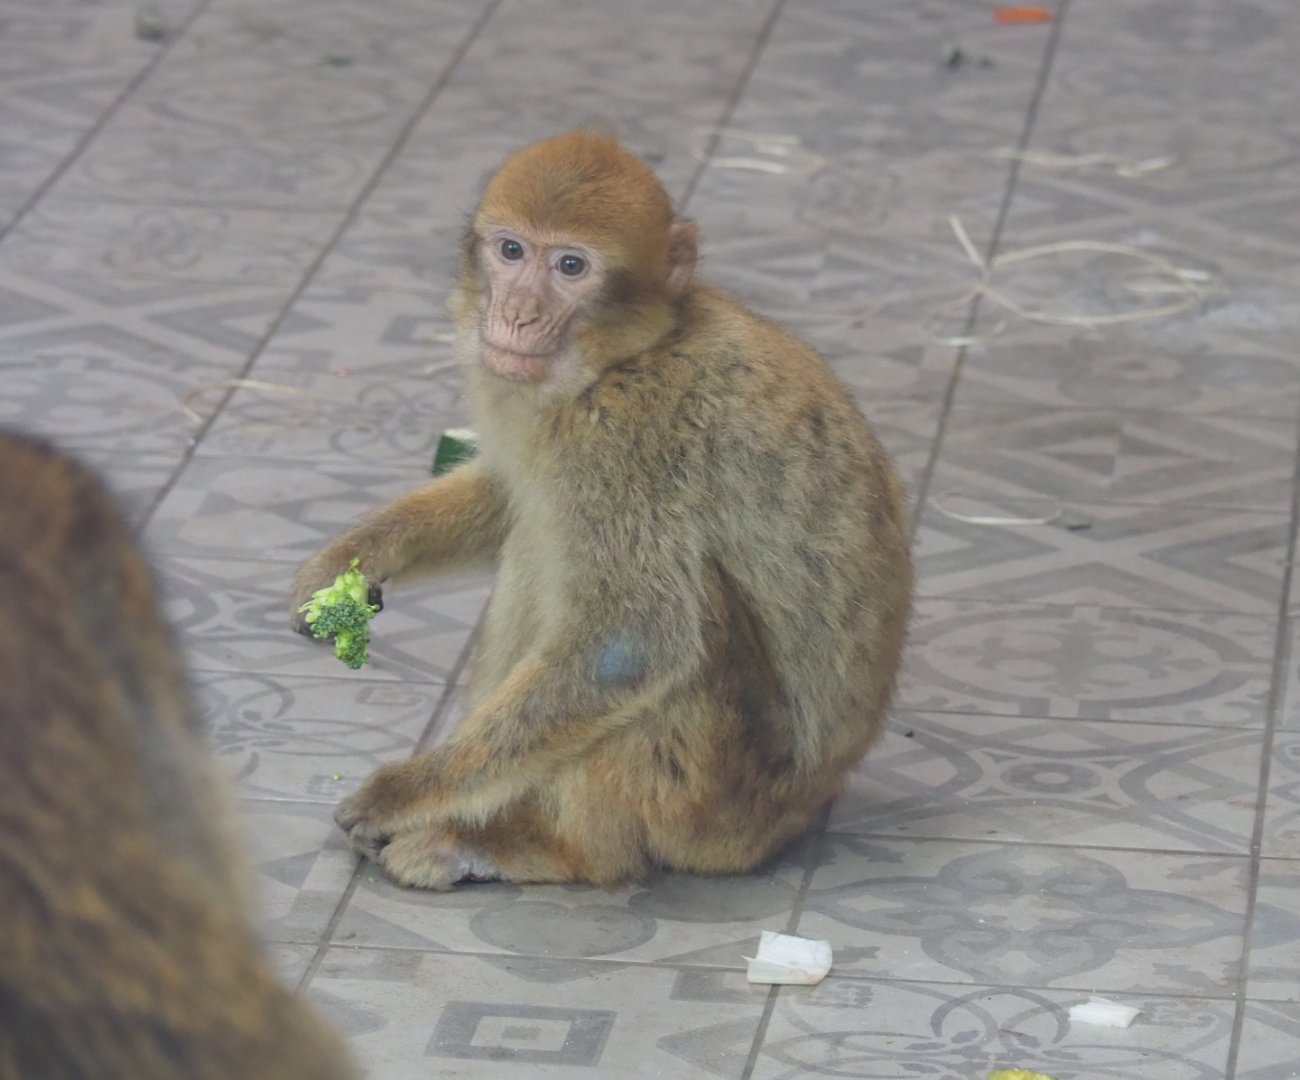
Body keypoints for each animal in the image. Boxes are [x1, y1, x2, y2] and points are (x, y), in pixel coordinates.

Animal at [289, 129, 912, 891]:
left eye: (571, 266)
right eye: (511, 251)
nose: (516, 315)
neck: (625, 356)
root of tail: (791, 820)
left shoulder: (620, 438)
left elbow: (634, 642)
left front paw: (403, 792)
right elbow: (512, 491)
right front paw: (354, 558)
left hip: (707, 806)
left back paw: (543, 847)